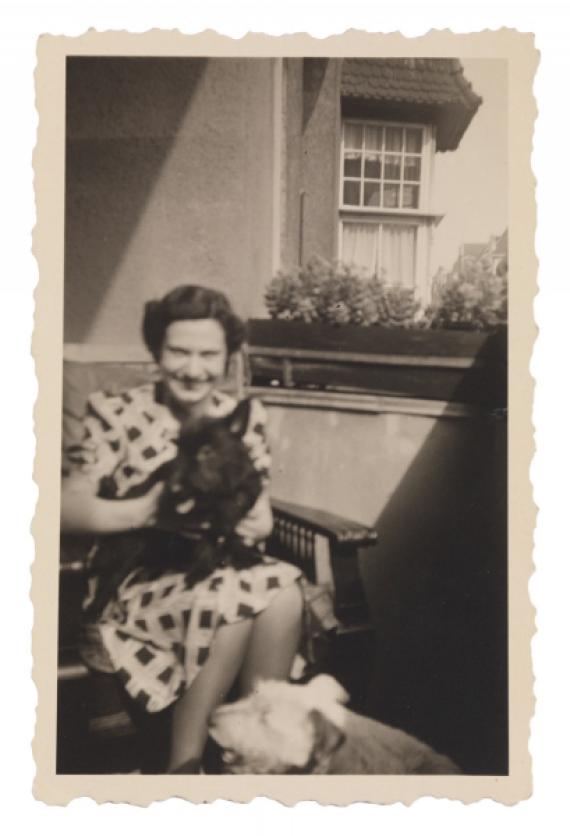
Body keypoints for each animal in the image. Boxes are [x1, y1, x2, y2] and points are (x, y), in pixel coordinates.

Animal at [82, 402, 264, 624]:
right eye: (178, 449)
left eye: (206, 450)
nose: (174, 489)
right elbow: (209, 540)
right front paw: (201, 569)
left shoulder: (241, 498)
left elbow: (228, 529)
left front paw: (241, 553)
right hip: (127, 548)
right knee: (109, 579)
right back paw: (93, 610)